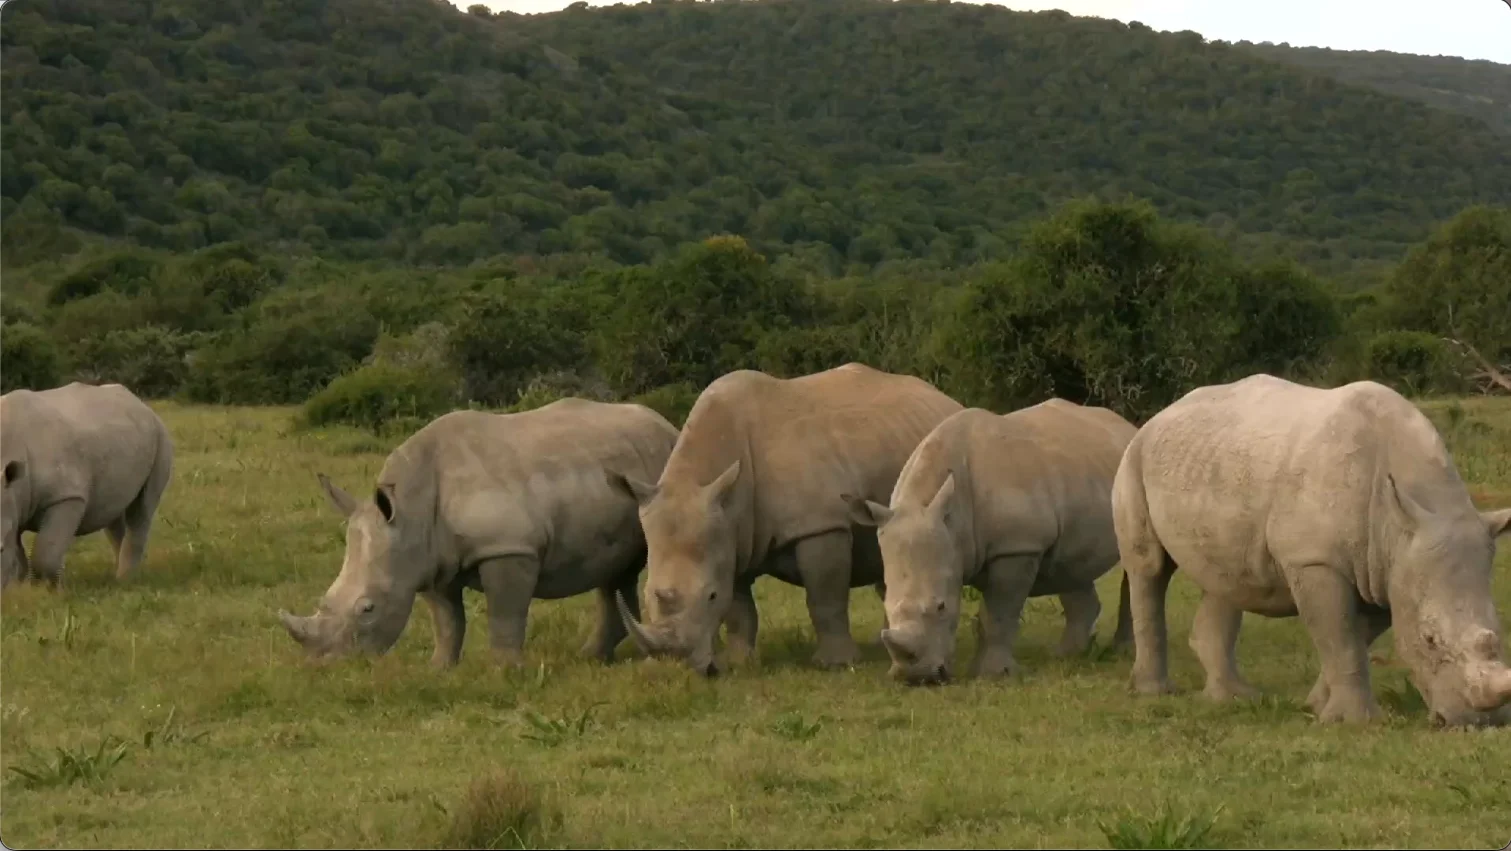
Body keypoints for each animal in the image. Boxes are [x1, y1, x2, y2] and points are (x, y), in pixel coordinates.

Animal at [1, 382, 174, 591]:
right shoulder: (15, 502)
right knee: (114, 512)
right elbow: (18, 553)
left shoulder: (67, 496)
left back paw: (126, 581)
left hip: (161, 436)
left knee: (142, 509)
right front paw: (19, 589)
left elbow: (46, 551)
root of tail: (143, 406)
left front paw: (51, 591)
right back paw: (120, 577)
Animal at [277, 398, 680, 668]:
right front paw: (439, 669)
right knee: (615, 572)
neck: (411, 511)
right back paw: (592, 659)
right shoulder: (430, 560)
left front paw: (504, 671)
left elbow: (505, 615)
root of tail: (665, 424)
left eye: (367, 608)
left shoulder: (508, 548)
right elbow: (447, 621)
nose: (324, 665)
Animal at [606, 363, 965, 676]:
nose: (675, 666)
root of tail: (943, 397)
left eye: (710, 596)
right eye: (648, 595)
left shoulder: (821, 524)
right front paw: (738, 663)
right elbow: (739, 609)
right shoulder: (733, 535)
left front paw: (835, 664)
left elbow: (825, 598)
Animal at [843, 399, 1136, 685]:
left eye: (942, 606)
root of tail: (1126, 425)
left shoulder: (1017, 547)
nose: (916, 678)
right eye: (887, 607)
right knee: (1069, 566)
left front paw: (994, 674)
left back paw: (1120, 651)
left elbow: (996, 614)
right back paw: (1067, 655)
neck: (953, 521)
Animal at [1112, 374, 1511, 727]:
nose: (1479, 722)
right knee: (1148, 568)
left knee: (1225, 579)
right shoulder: (1316, 560)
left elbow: (1353, 637)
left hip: (1213, 461)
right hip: (1134, 459)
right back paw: (1155, 693)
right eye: (1429, 640)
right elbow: (1339, 635)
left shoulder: (1384, 570)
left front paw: (1317, 706)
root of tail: (1160, 415)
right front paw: (1354, 721)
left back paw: (1234, 698)